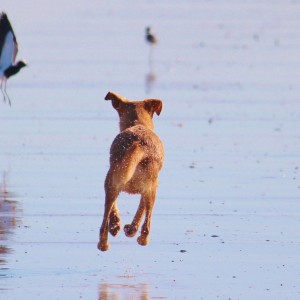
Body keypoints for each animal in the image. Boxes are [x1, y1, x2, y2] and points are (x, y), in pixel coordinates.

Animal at [98, 91, 164, 251]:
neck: (137, 123)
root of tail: (139, 145)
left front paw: (120, 225)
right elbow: (141, 210)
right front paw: (129, 228)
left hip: (113, 180)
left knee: (105, 222)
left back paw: (106, 240)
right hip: (150, 187)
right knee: (147, 224)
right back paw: (139, 238)